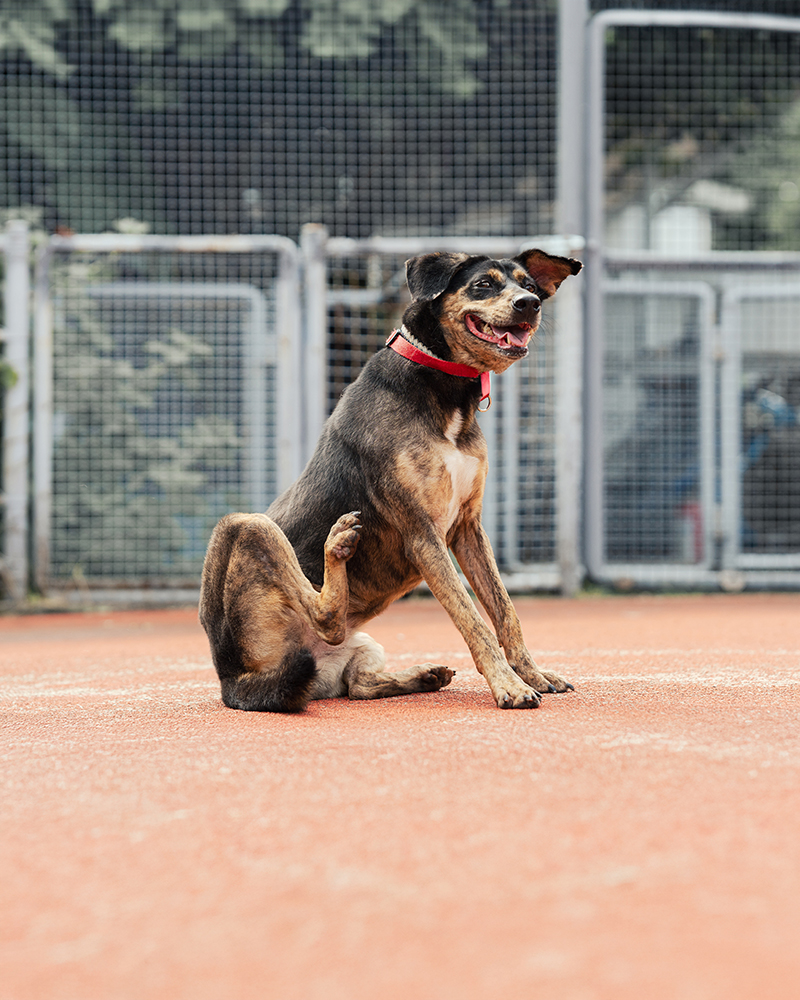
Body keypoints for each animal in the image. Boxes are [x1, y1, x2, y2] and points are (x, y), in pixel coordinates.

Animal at [199, 248, 582, 711]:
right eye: (483, 284)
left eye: (528, 285)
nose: (530, 305)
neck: (443, 389)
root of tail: (237, 683)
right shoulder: (423, 534)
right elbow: (473, 619)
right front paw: (508, 685)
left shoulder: (469, 531)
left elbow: (506, 612)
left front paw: (533, 674)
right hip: (243, 523)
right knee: (326, 618)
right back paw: (337, 545)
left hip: (357, 646)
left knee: (358, 683)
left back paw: (423, 675)